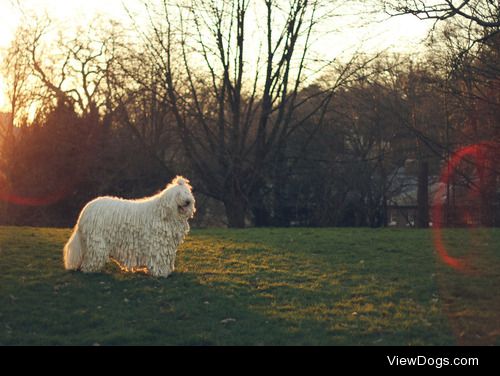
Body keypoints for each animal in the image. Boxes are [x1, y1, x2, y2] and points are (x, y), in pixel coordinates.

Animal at [63, 176, 195, 276]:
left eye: (187, 192)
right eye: (178, 194)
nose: (188, 201)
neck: (164, 213)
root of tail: (85, 210)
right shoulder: (158, 243)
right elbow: (158, 259)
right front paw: (160, 273)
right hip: (96, 241)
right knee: (93, 256)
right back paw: (91, 270)